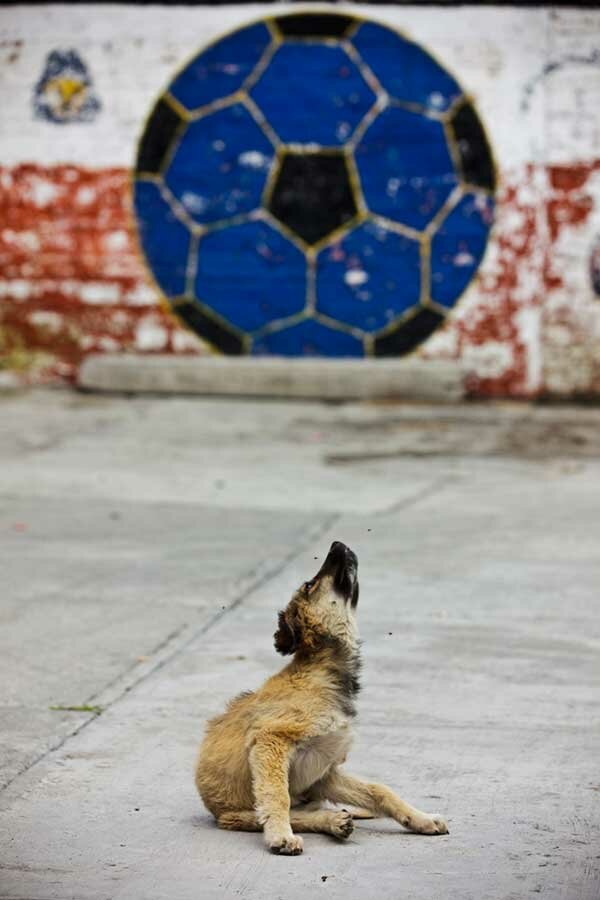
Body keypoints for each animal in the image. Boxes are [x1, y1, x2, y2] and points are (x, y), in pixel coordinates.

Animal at [195, 536, 448, 856]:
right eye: (310, 585)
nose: (337, 543)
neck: (322, 670)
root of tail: (215, 811)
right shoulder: (270, 739)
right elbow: (278, 797)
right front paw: (280, 835)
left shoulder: (323, 771)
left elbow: (380, 790)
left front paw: (420, 818)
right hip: (240, 814)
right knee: (298, 814)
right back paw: (332, 822)